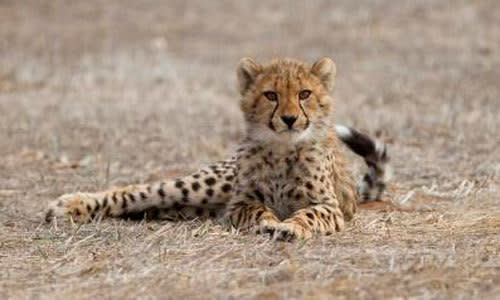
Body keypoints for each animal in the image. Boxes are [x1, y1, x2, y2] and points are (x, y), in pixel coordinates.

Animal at [46, 57, 390, 241]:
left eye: (304, 94)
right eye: (271, 95)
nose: (290, 119)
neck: (282, 149)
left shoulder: (330, 207)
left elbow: (309, 214)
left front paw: (291, 227)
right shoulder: (239, 203)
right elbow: (257, 209)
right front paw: (269, 222)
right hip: (207, 186)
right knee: (141, 191)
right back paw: (70, 205)